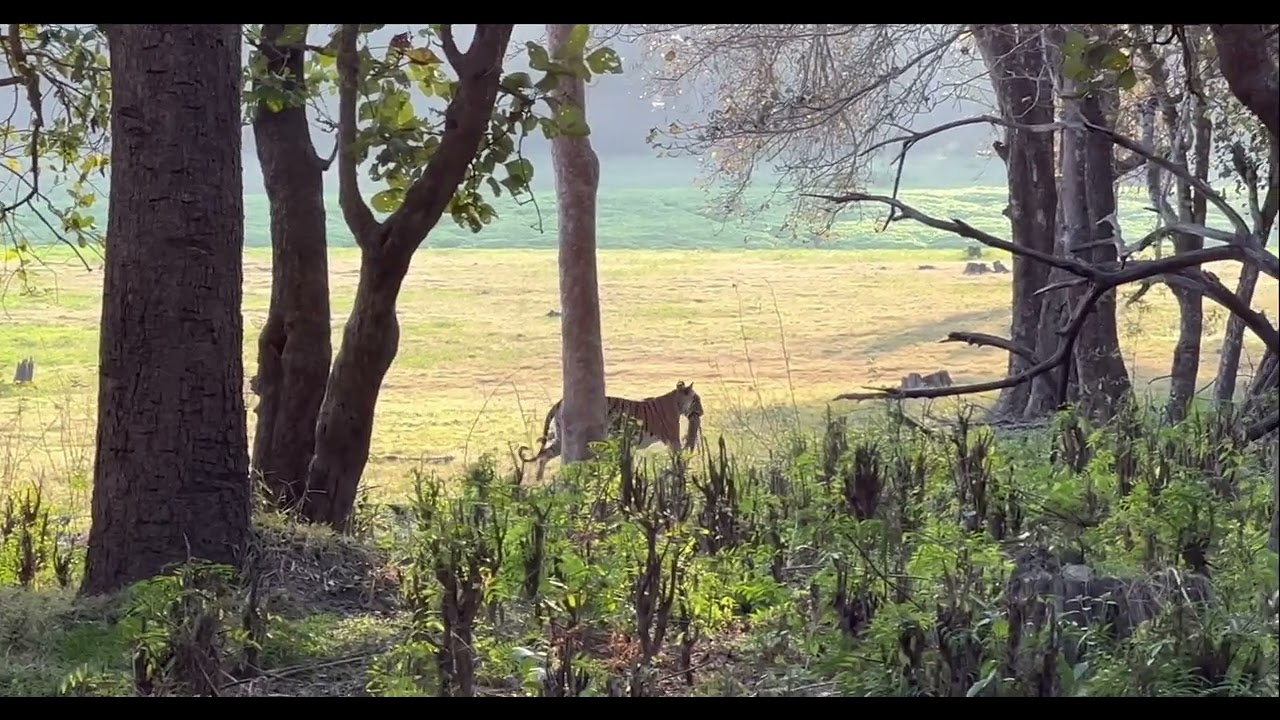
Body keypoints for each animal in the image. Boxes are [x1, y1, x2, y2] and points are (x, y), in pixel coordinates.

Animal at [518, 381, 704, 483]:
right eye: (697, 400)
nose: (701, 413)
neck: (677, 402)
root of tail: (561, 401)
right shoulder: (672, 438)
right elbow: (678, 456)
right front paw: (681, 472)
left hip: (560, 439)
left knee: (544, 455)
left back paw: (538, 481)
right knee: (545, 455)